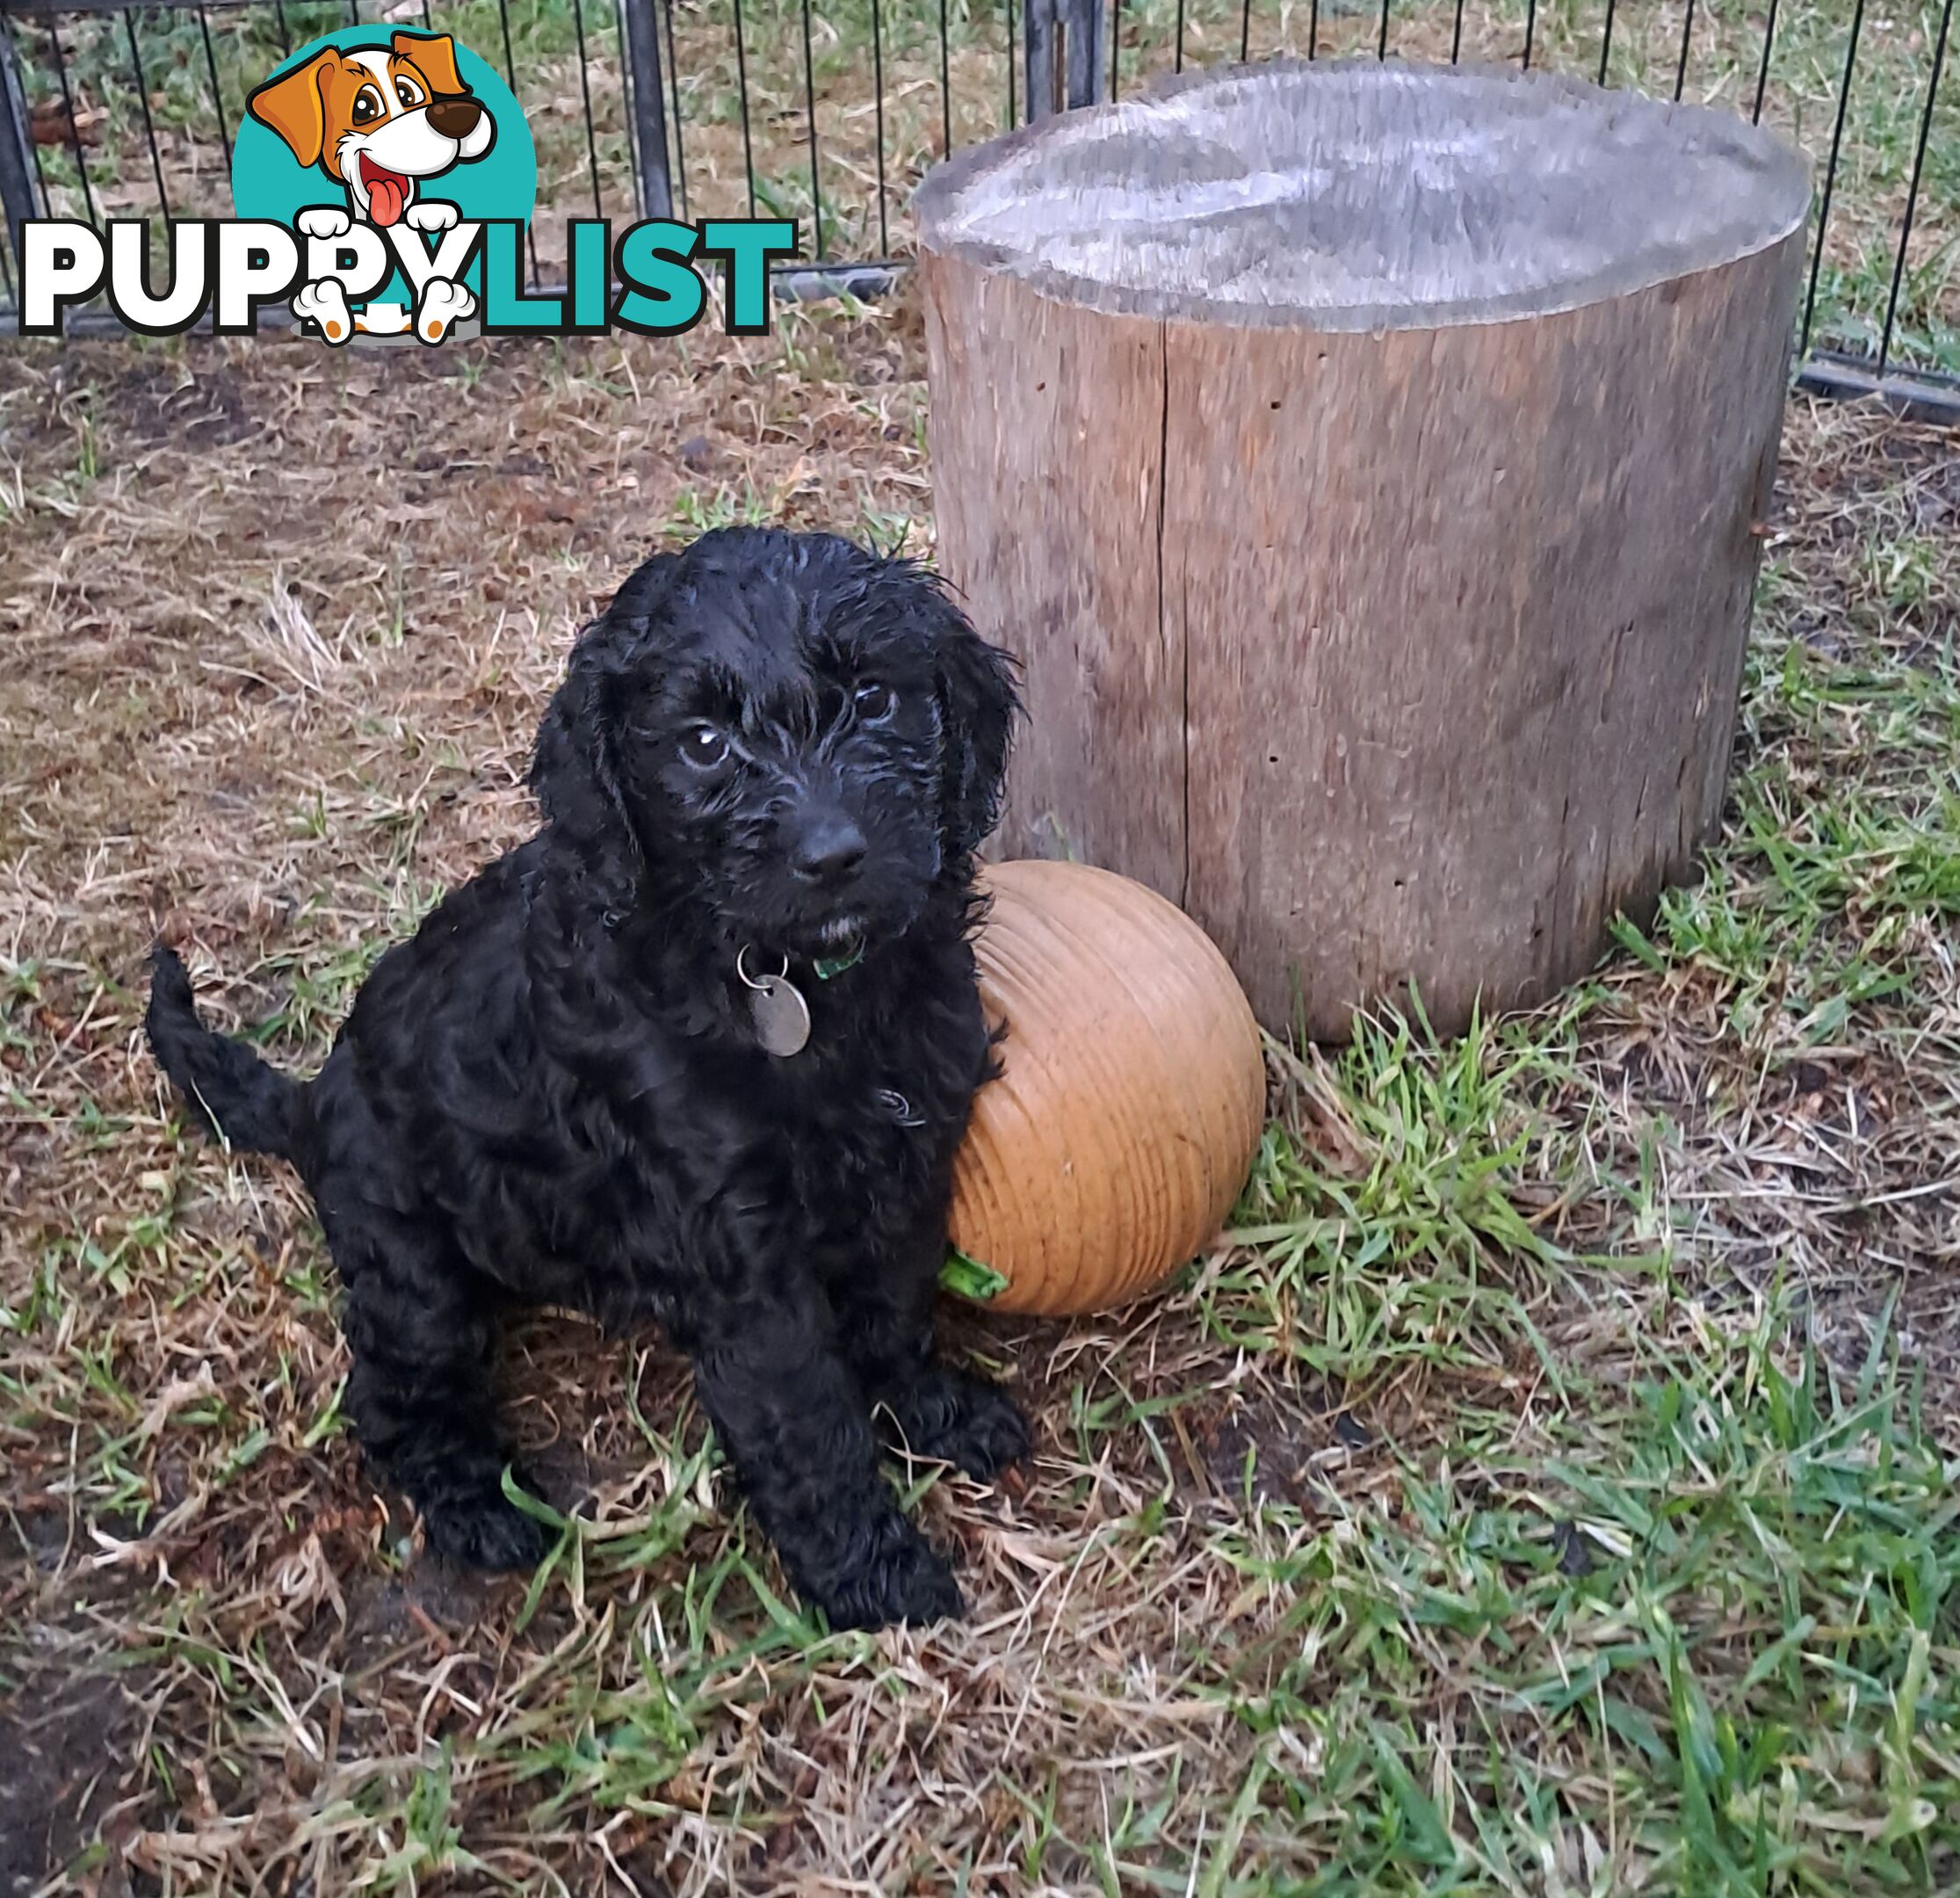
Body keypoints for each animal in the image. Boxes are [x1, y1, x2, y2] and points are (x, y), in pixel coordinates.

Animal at [147, 525, 1034, 1623]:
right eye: (703, 744)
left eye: (874, 698)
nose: (832, 855)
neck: (798, 987)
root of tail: (312, 1098)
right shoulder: (745, 1266)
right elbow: (808, 1425)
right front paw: (876, 1577)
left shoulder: (905, 1167)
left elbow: (891, 1311)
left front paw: (936, 1414)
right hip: (412, 1266)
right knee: (388, 1398)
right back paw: (481, 1513)